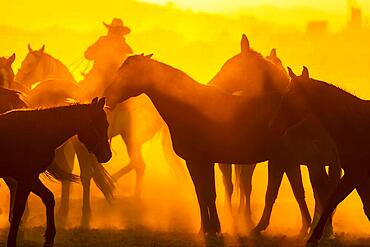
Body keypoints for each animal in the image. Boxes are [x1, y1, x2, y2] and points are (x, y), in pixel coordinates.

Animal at [1, 98, 111, 247]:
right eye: (102, 124)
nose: (107, 155)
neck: (37, 132)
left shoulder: (30, 178)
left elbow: (49, 198)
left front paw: (48, 238)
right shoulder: (26, 178)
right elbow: (18, 210)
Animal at [270, 67, 370, 245]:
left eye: (289, 96)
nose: (273, 126)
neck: (353, 124)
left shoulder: (355, 173)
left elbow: (333, 200)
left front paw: (313, 237)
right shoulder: (357, 175)